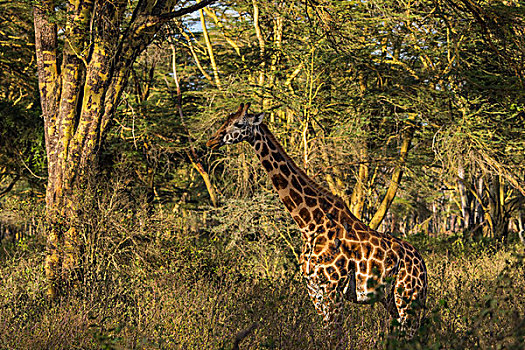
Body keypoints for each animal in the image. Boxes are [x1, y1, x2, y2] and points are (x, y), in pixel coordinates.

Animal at [205, 102, 426, 340]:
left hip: (408, 297)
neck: (308, 224)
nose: (211, 140)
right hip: (391, 299)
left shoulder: (332, 288)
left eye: (238, 123)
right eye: (226, 120)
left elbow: (334, 337)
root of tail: (422, 264)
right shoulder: (314, 290)